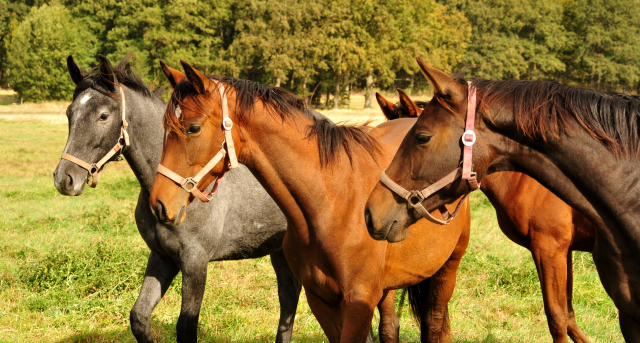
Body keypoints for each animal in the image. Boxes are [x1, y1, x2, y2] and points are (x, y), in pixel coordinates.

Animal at [51, 55, 302, 342]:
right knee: (288, 298)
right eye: (69, 113)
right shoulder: (162, 257)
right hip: (281, 251)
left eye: (103, 116)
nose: (65, 179)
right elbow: (139, 316)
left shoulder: (195, 262)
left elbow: (186, 326)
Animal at [149, 60, 470, 342]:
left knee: (434, 326)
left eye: (193, 128)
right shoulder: (321, 299)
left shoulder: (358, 301)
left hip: (447, 271)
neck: (331, 199)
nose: (159, 203)